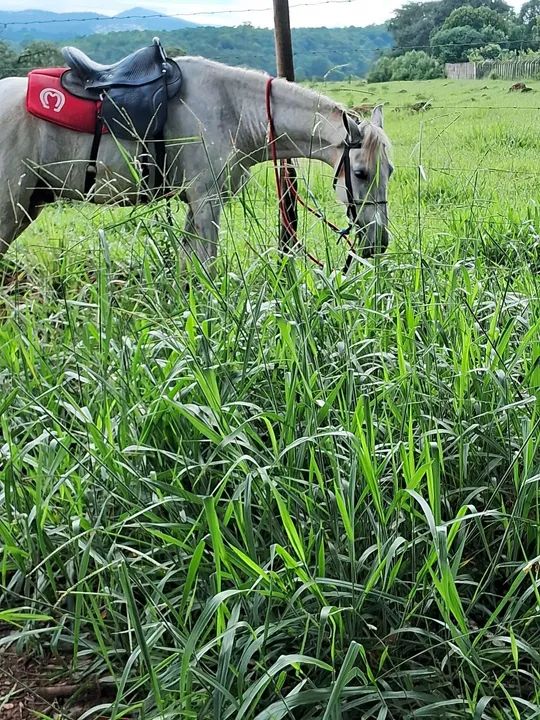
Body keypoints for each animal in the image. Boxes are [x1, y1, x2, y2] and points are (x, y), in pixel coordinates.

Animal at [0, 54, 392, 271]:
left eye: (389, 171)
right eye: (360, 173)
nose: (378, 243)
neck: (232, 109)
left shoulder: (196, 203)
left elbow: (189, 269)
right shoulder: (207, 201)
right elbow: (208, 265)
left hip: (27, 207)